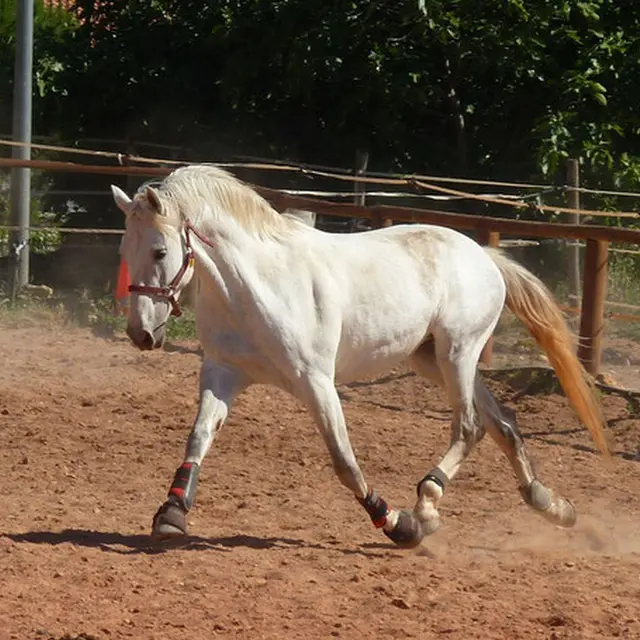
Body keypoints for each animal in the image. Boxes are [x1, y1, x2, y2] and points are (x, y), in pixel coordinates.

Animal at [111, 164, 608, 544]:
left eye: (160, 251)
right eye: (124, 249)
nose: (140, 334)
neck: (257, 285)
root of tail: (484, 255)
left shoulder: (316, 382)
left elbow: (344, 462)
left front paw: (398, 525)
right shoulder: (222, 373)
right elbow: (198, 438)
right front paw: (171, 516)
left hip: (459, 352)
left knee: (469, 427)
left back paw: (426, 505)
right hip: (431, 359)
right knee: (501, 424)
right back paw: (551, 504)